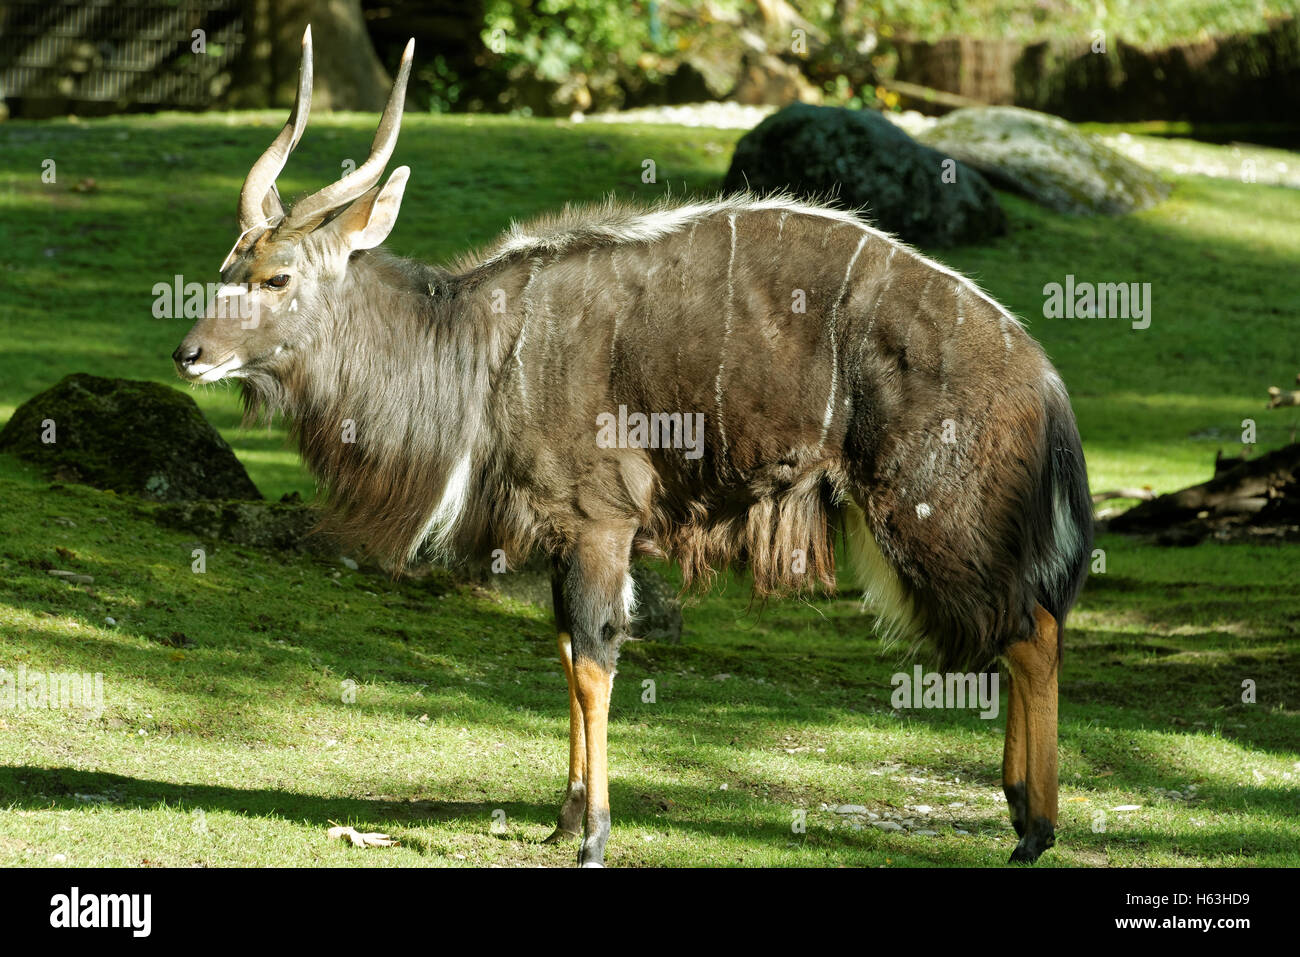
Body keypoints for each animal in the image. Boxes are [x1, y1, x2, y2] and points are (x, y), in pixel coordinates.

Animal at [170, 31, 1086, 868]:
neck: (477, 349)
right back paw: (1017, 808)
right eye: (228, 264)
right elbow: (564, 651)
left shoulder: (600, 524)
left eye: (278, 277)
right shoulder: (562, 537)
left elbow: (594, 659)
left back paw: (1034, 829)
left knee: (1032, 627)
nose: (189, 353)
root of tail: (1040, 374)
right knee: (1019, 626)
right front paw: (563, 818)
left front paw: (595, 835)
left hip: (932, 516)